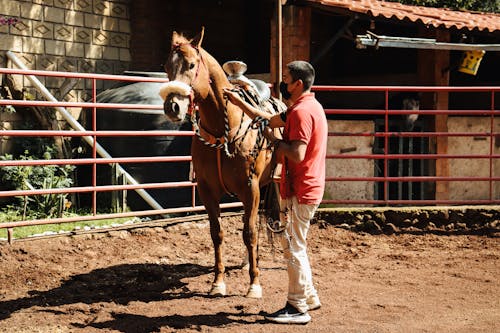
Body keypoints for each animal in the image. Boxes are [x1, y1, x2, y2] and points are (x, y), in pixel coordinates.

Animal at [160, 28, 286, 296]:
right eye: (166, 66)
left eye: (192, 64)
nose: (172, 106)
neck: (223, 129)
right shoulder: (207, 190)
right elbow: (217, 233)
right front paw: (218, 282)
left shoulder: (250, 188)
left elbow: (250, 233)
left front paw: (254, 285)